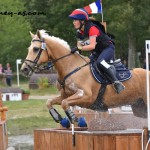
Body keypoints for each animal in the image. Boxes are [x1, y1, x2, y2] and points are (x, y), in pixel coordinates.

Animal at [20, 29, 149, 128]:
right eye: (28, 49)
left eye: (36, 49)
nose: (24, 69)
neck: (71, 66)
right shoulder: (65, 95)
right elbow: (50, 102)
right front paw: (58, 117)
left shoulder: (85, 96)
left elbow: (65, 103)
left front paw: (74, 119)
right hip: (139, 106)